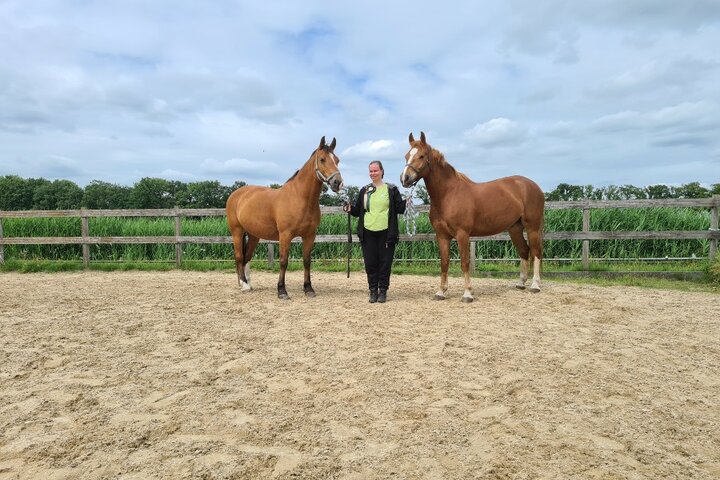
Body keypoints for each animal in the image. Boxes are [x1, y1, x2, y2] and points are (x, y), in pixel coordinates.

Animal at [228, 137, 346, 298]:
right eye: (322, 159)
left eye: (337, 160)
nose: (338, 183)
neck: (300, 198)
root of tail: (236, 194)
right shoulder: (285, 235)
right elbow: (284, 261)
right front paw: (282, 290)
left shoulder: (310, 235)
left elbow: (307, 261)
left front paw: (308, 288)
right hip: (237, 231)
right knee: (239, 256)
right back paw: (244, 284)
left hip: (253, 235)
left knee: (247, 257)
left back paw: (247, 283)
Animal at [400, 131, 544, 302]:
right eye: (406, 156)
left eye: (421, 156)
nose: (405, 178)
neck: (448, 195)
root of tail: (533, 186)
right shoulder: (442, 236)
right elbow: (444, 263)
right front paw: (441, 292)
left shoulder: (462, 234)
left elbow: (464, 262)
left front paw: (467, 293)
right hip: (514, 228)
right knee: (524, 251)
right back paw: (521, 283)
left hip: (532, 227)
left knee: (535, 252)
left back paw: (535, 285)